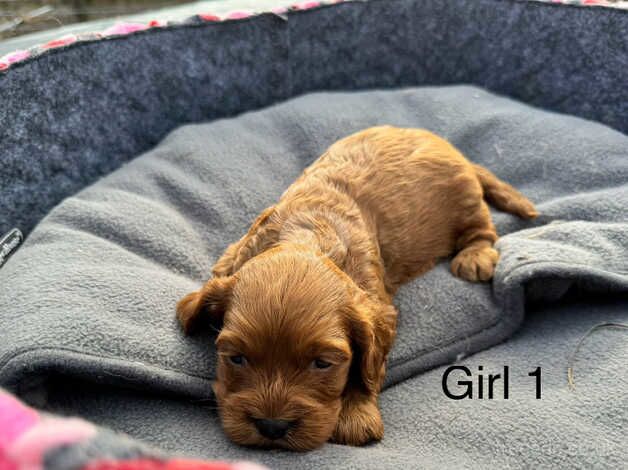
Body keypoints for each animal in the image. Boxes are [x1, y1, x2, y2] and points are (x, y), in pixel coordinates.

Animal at [175, 126, 536, 450]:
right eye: (236, 358)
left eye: (323, 363)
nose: (272, 427)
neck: (309, 235)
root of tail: (448, 146)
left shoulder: (377, 309)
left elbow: (368, 367)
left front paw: (356, 415)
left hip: (463, 200)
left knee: (483, 229)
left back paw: (475, 256)